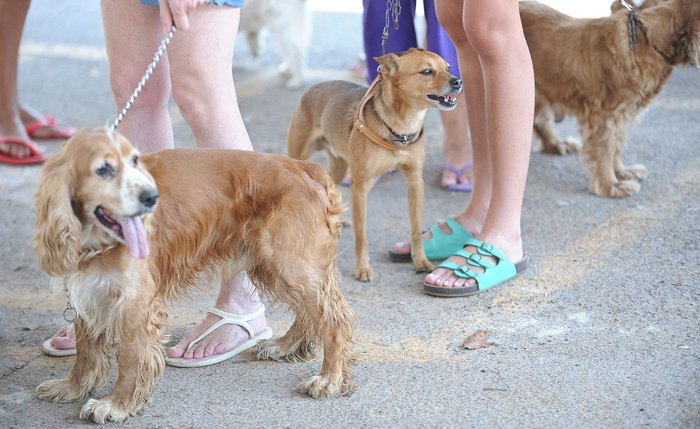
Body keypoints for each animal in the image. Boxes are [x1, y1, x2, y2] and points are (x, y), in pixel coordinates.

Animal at [32, 129, 356, 422]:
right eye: (103, 168)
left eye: (135, 161)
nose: (152, 197)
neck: (96, 239)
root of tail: (306, 167)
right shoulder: (89, 292)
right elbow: (85, 351)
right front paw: (72, 387)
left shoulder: (135, 302)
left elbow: (131, 356)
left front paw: (117, 404)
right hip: (275, 264)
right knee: (309, 312)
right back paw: (286, 346)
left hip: (289, 262)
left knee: (334, 319)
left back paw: (329, 379)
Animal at [288, 47, 462, 280]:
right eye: (427, 71)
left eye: (448, 67)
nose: (458, 81)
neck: (402, 128)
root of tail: (312, 88)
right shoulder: (360, 186)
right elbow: (362, 234)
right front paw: (362, 268)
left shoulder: (415, 181)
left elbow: (416, 228)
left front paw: (420, 261)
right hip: (301, 156)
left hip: (340, 167)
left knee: (329, 186)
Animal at [520, 0, 700, 197]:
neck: (646, 39)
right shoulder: (602, 116)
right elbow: (604, 151)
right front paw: (611, 185)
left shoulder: (620, 115)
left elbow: (616, 146)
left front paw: (622, 172)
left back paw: (556, 144)